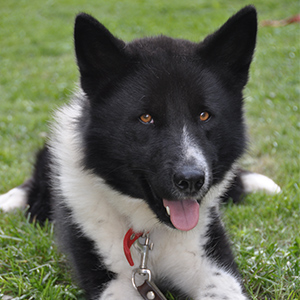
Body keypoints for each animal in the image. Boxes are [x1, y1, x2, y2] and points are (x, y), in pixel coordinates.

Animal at [0, 5, 282, 300]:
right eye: (146, 118)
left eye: (204, 115)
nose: (192, 180)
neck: (149, 233)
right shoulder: (113, 280)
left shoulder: (210, 259)